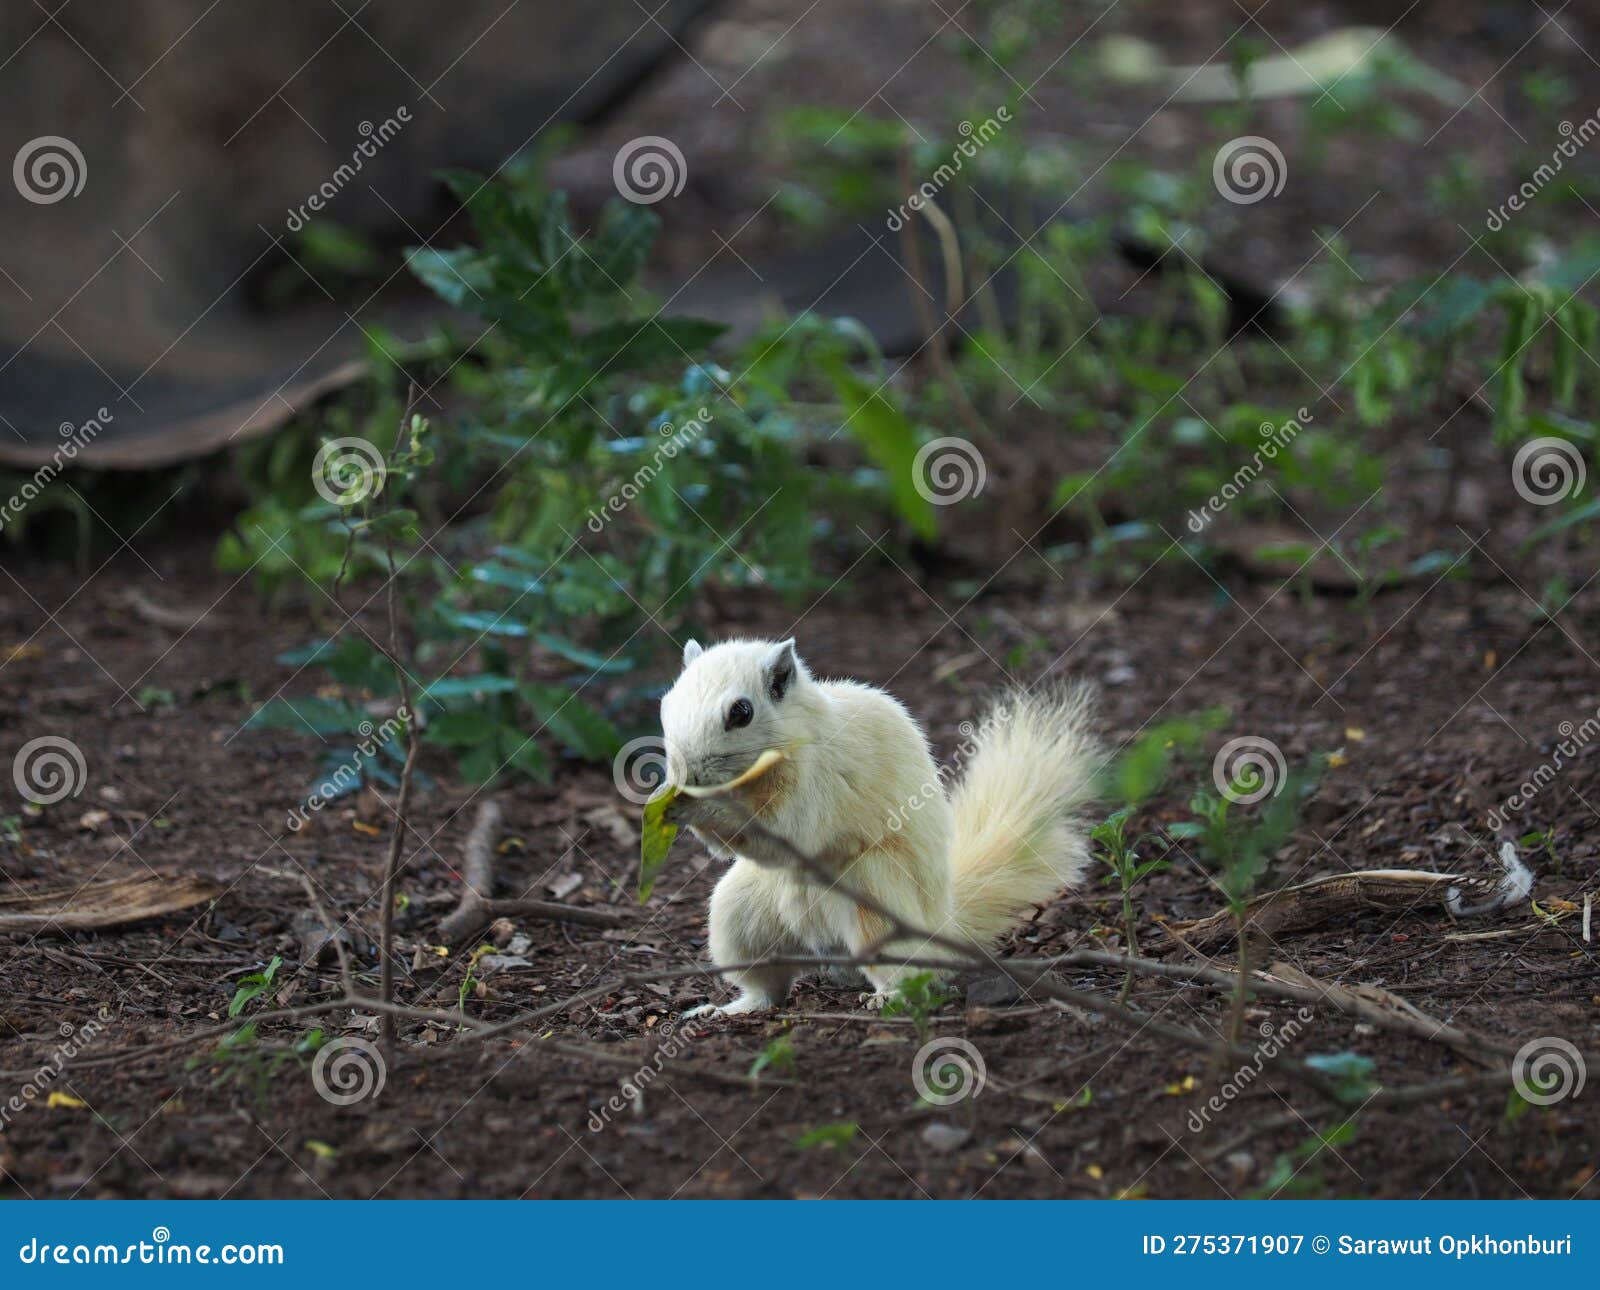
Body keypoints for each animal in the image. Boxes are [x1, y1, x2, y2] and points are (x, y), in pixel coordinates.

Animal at [658, 636, 1101, 1018]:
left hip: (876, 897)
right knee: (767, 987)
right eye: (668, 702)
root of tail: (943, 923)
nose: (687, 771)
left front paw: (694, 802)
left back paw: (889, 996)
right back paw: (728, 1008)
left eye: (741, 713)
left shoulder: (820, 783)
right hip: (741, 914)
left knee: (908, 971)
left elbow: (786, 828)